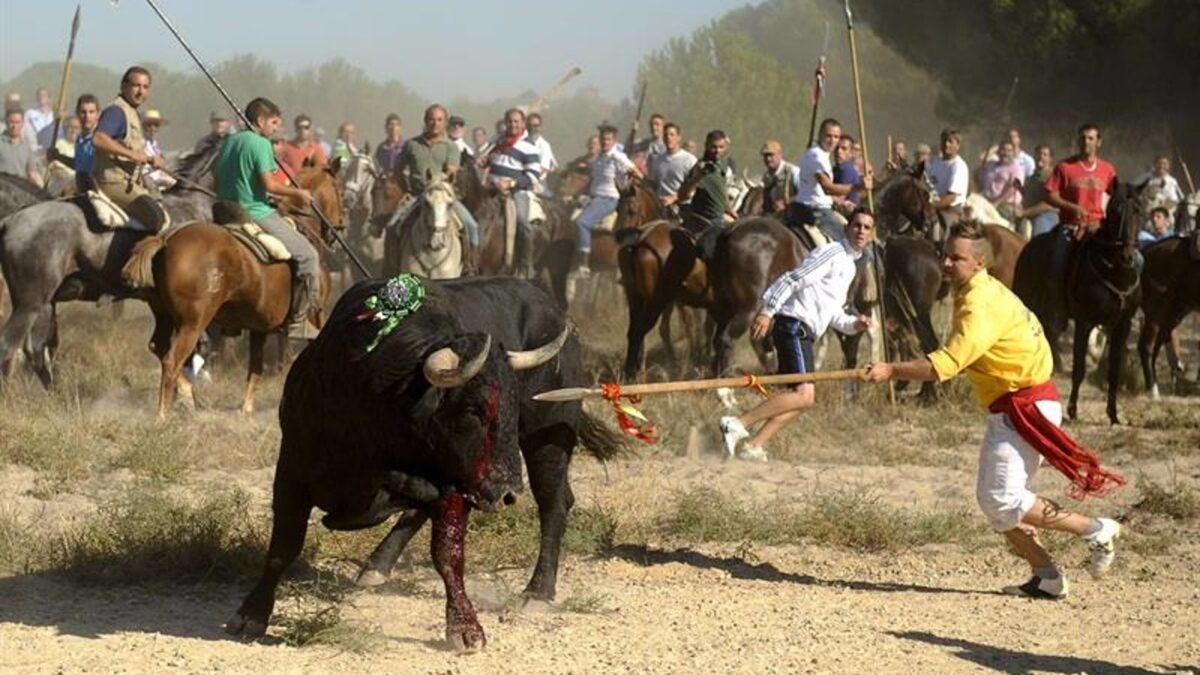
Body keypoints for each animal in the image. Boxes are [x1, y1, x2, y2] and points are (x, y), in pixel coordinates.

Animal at [123, 165, 343, 415]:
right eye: (338, 189)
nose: (341, 225)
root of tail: (166, 240)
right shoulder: (315, 315)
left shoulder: (260, 327)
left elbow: (255, 367)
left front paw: (246, 408)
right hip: (192, 323)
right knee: (172, 360)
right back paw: (163, 414)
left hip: (165, 315)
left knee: (158, 348)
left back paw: (187, 395)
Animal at [225, 277, 624, 648]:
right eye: (474, 409)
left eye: (514, 406)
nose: (508, 491)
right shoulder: (291, 469)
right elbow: (283, 548)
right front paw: (252, 614)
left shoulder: (455, 484)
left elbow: (448, 552)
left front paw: (465, 628)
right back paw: (377, 565)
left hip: (547, 440)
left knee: (554, 503)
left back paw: (538, 592)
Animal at [1012, 180, 1142, 420]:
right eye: (1115, 209)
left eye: (1138, 209)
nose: (1127, 256)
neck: (1115, 272)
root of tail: (1028, 246)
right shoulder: (1085, 321)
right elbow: (1079, 369)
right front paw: (1072, 410)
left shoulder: (1123, 325)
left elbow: (1114, 371)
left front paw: (1113, 414)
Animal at [1132, 234, 1200, 396]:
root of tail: (1144, 253)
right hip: (1157, 312)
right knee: (1146, 346)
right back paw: (1153, 391)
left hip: (1173, 315)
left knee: (1156, 346)